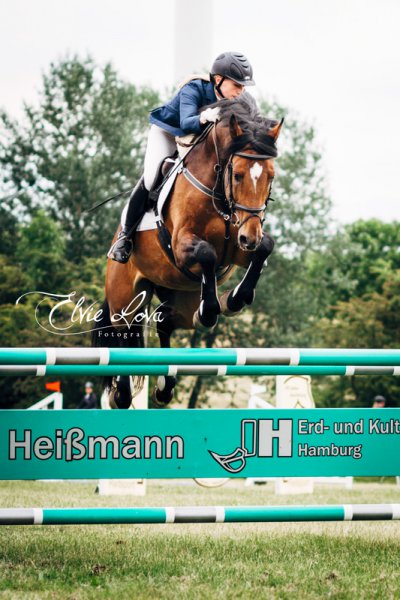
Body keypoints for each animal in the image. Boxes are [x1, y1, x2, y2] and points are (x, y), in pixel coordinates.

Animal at [93, 94, 283, 408]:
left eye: (270, 176)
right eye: (238, 175)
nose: (250, 237)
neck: (217, 188)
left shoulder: (237, 248)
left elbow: (264, 249)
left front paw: (233, 299)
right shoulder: (184, 245)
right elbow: (206, 253)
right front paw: (212, 309)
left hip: (181, 298)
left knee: (165, 321)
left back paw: (164, 386)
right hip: (125, 296)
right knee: (123, 330)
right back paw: (121, 394)